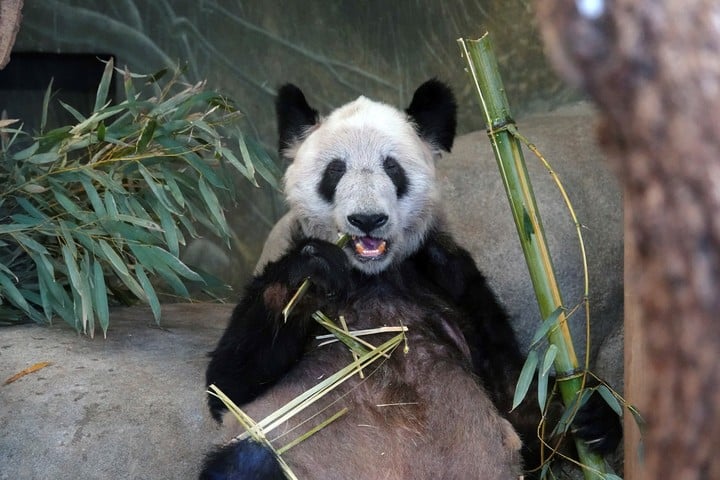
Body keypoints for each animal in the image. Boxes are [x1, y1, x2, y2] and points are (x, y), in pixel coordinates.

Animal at [200, 80, 621, 479]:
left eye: (392, 168)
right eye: (335, 170)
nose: (367, 219)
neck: (371, 276)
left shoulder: (451, 280)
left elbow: (521, 403)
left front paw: (592, 412)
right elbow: (229, 384)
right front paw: (309, 274)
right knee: (247, 461)